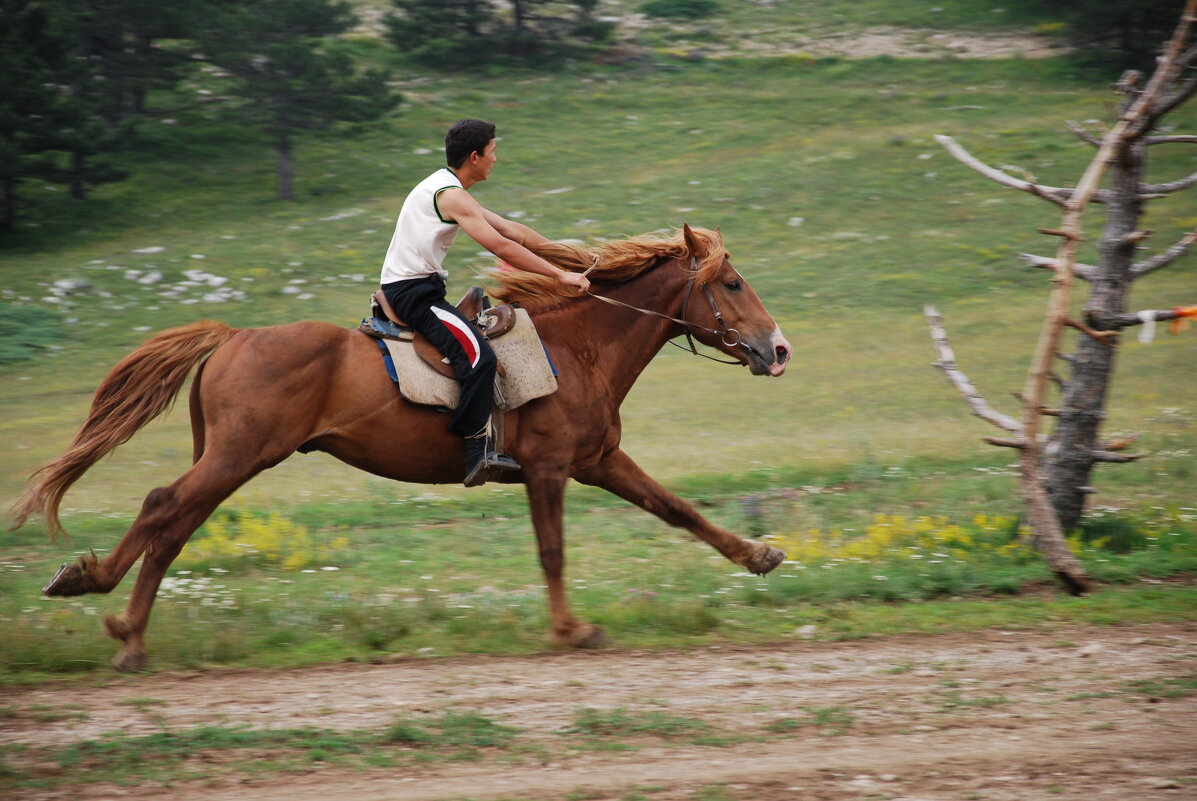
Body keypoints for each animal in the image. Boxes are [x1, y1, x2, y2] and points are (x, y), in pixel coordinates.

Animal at [14, 221, 794, 670]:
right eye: (731, 282)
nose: (778, 348)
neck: (581, 346)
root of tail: (234, 336)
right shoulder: (548, 469)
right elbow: (553, 550)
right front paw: (572, 631)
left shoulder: (597, 460)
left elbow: (676, 509)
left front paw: (758, 555)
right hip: (238, 456)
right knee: (160, 506)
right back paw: (98, 594)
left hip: (229, 460)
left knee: (174, 525)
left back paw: (128, 632)